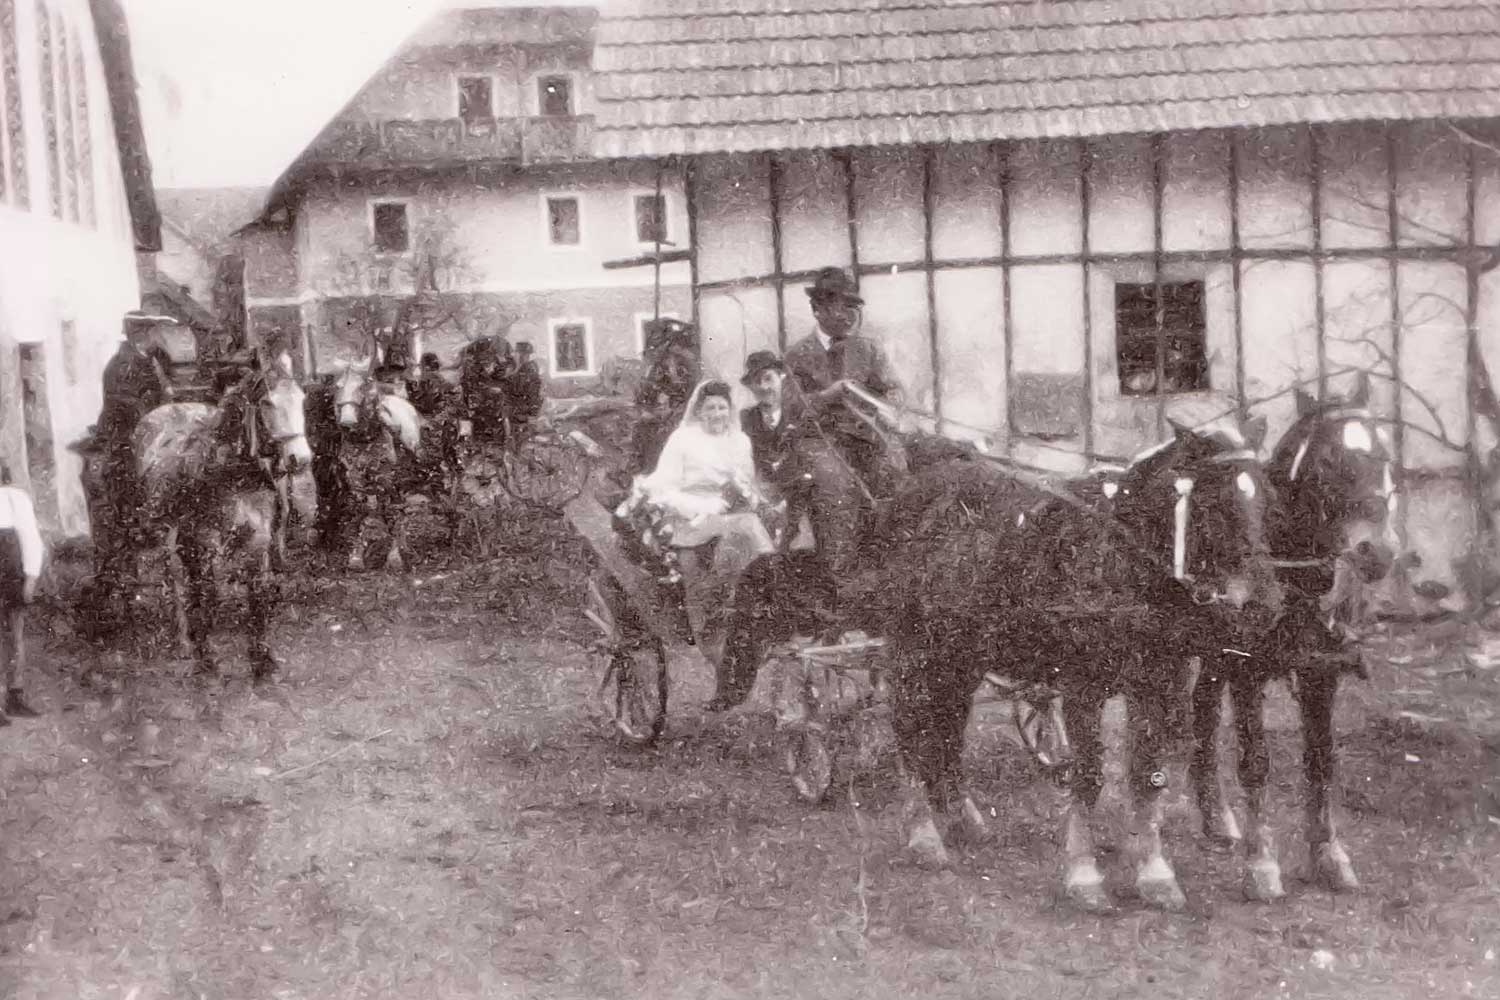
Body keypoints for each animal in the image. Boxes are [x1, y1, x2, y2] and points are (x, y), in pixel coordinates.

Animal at [132, 350, 313, 680]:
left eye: (301, 399)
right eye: (267, 403)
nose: (300, 458)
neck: (229, 474)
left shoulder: (258, 539)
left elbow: (257, 594)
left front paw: (262, 660)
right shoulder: (201, 542)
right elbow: (205, 593)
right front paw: (206, 657)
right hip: (167, 535)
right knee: (175, 580)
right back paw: (183, 638)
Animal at [1189, 374, 1402, 901]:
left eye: (1384, 453)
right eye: (1326, 462)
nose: (1378, 553)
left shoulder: (1320, 673)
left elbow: (1321, 762)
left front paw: (1329, 855)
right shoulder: (1246, 672)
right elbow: (1255, 762)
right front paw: (1261, 864)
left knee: (1203, 712)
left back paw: (1216, 818)